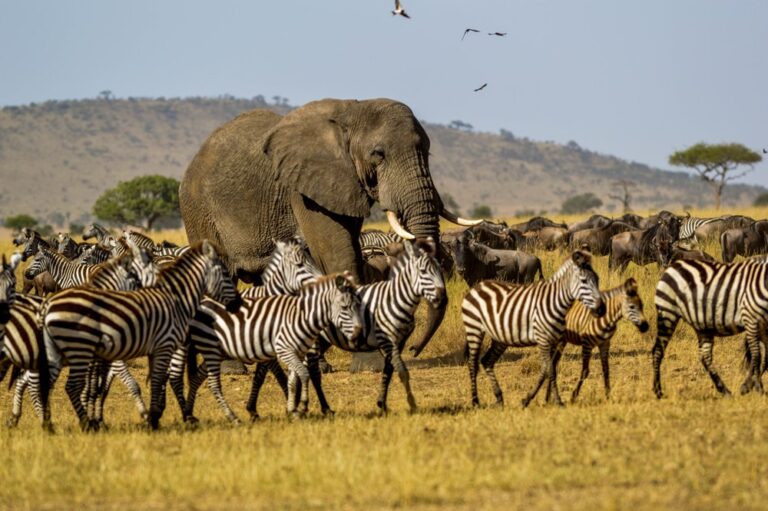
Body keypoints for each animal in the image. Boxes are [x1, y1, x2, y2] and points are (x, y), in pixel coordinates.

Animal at [183, 272, 363, 422]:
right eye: (345, 307)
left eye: (358, 306)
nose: (359, 333)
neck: (302, 317)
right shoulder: (284, 350)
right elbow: (304, 374)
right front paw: (302, 406)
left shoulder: (296, 353)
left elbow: (293, 381)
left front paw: (292, 410)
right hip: (210, 349)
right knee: (213, 384)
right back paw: (232, 417)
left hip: (214, 351)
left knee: (197, 377)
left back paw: (189, 414)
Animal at [461, 249, 605, 408]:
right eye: (584, 281)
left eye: (598, 279)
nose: (602, 310)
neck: (555, 302)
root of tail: (478, 286)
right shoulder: (543, 340)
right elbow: (550, 370)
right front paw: (558, 401)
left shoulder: (554, 341)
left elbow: (547, 369)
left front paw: (528, 399)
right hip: (474, 329)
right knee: (473, 363)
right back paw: (475, 401)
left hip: (500, 337)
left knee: (487, 361)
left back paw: (499, 398)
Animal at [653, 258, 768, 399]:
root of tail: (673, 265)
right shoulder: (751, 319)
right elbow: (757, 354)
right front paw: (757, 387)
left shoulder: (763, 325)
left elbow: (765, 357)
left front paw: (749, 386)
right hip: (667, 311)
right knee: (658, 350)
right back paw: (658, 390)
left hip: (703, 327)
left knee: (705, 357)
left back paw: (724, 390)